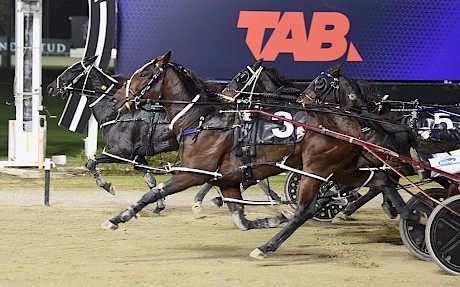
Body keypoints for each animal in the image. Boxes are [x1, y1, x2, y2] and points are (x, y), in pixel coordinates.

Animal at [45, 56, 177, 214]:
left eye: (73, 69)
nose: (50, 88)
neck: (116, 112)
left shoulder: (120, 152)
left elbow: (91, 162)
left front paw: (108, 186)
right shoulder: (137, 157)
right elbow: (150, 180)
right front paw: (159, 205)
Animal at [105, 51, 424, 258]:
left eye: (144, 74)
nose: (116, 98)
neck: (202, 118)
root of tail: (350, 121)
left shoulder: (194, 172)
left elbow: (153, 193)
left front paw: (118, 218)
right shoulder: (227, 179)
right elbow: (240, 218)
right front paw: (270, 217)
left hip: (317, 168)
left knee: (306, 209)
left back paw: (267, 246)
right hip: (342, 167)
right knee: (381, 180)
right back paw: (413, 217)